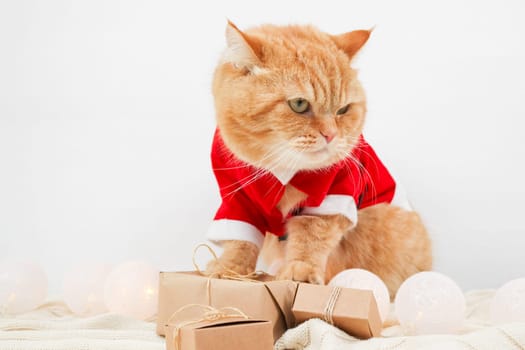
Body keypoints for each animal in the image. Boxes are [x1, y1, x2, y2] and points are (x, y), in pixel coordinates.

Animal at [205, 21, 430, 296]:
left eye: (343, 109)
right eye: (299, 104)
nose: (331, 135)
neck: (281, 169)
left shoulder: (335, 195)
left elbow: (311, 236)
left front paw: (300, 270)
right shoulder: (236, 199)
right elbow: (239, 241)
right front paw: (230, 268)